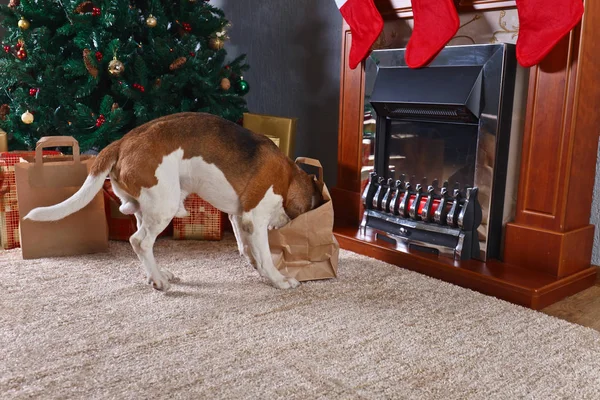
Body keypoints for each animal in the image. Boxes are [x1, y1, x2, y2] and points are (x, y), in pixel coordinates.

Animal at [27, 112, 324, 290]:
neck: (288, 176)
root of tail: (122, 141)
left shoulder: (239, 216)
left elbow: (247, 247)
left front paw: (256, 266)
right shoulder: (255, 218)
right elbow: (264, 254)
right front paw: (278, 279)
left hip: (143, 208)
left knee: (142, 242)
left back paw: (155, 274)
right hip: (164, 206)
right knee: (139, 241)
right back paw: (159, 281)